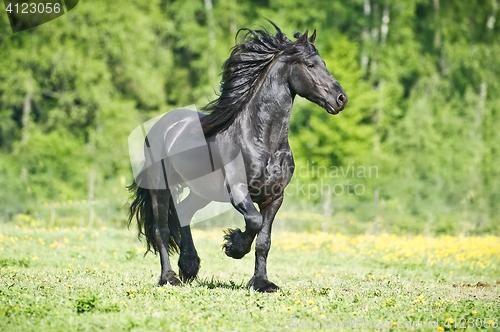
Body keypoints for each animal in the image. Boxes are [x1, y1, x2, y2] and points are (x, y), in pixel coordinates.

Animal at [129, 20, 348, 292]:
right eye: (310, 65)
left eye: (323, 63)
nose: (341, 99)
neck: (262, 142)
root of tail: (161, 125)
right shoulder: (238, 191)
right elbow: (253, 222)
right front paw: (233, 246)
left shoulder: (275, 197)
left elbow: (264, 241)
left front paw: (262, 283)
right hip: (160, 187)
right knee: (161, 229)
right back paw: (170, 278)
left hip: (202, 191)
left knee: (185, 213)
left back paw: (189, 266)